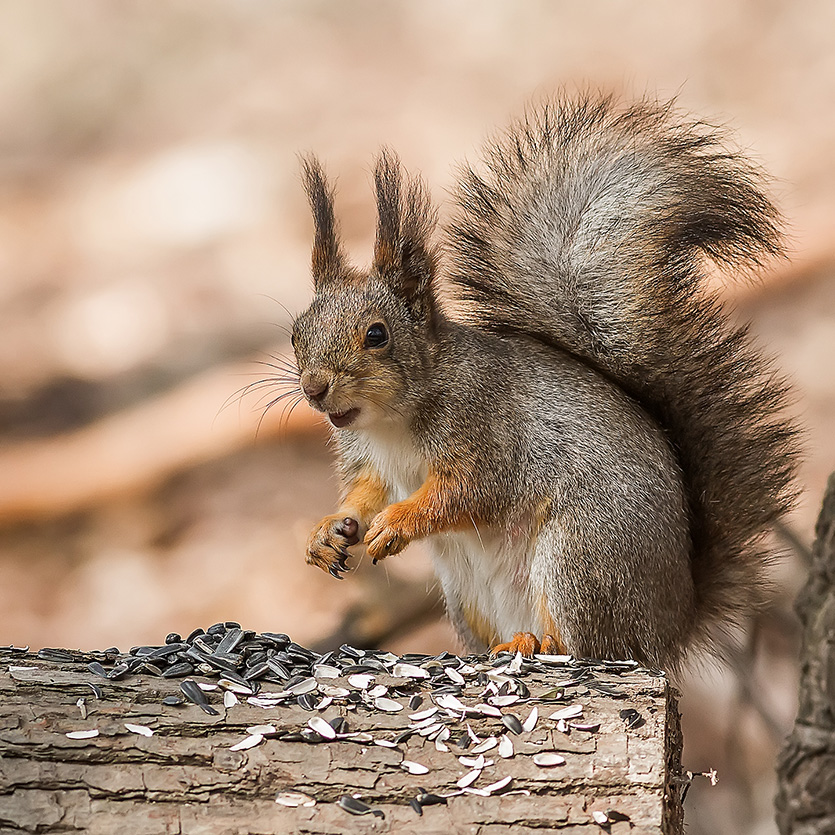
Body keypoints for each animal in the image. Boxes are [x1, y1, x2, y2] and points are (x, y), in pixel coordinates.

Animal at [290, 94, 800, 668]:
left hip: (580, 559)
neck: (390, 421)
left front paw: (399, 521)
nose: (313, 389)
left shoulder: (488, 434)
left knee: (587, 645)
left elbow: (467, 493)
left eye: (377, 335)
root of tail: (672, 625)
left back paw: (536, 642)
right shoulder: (366, 457)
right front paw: (329, 531)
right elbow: (364, 492)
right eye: (297, 332)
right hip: (468, 598)